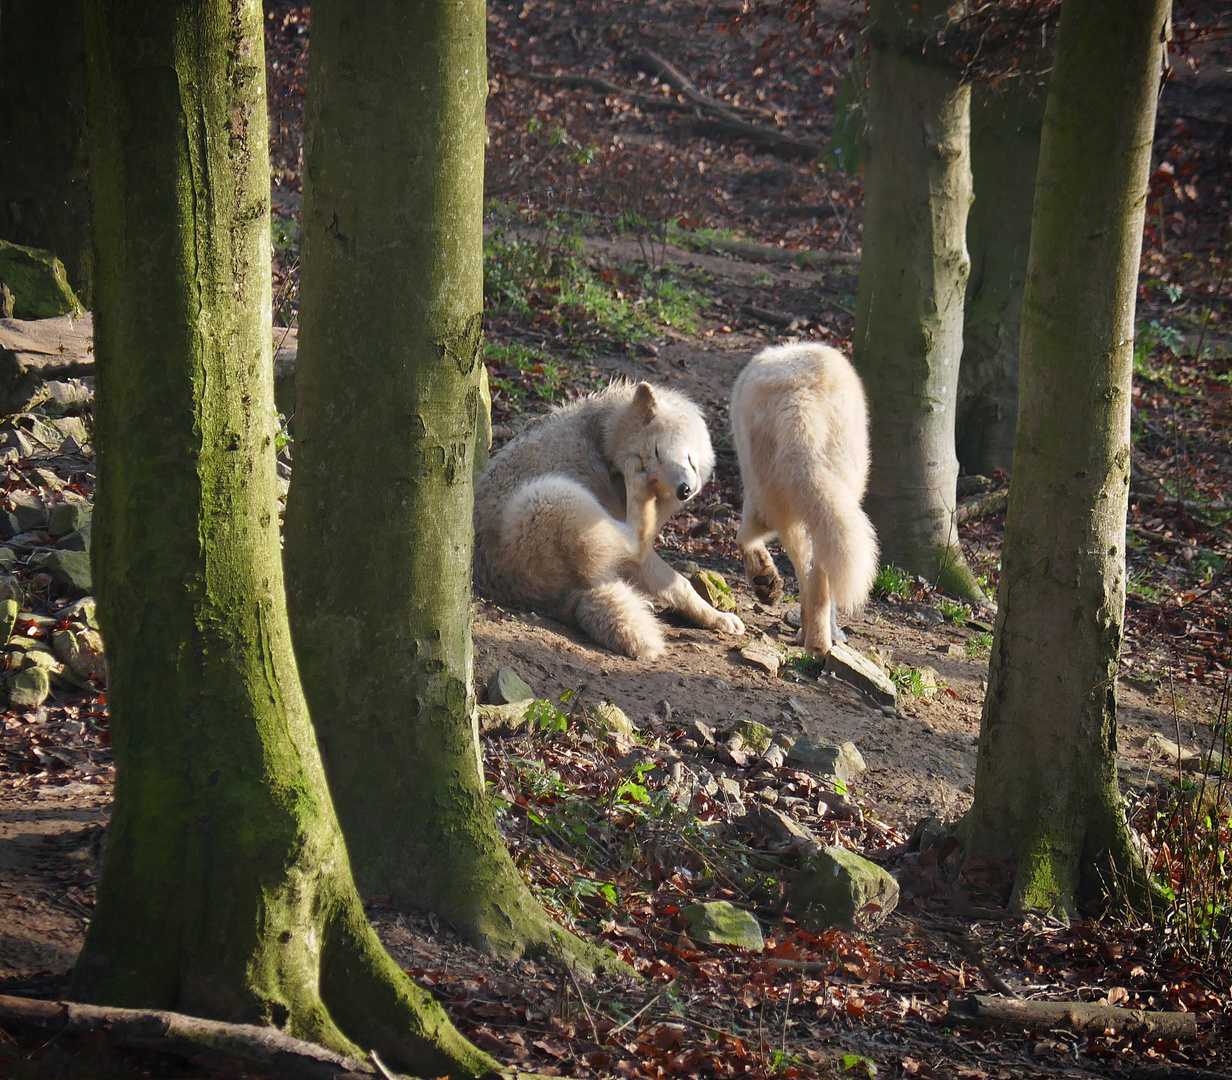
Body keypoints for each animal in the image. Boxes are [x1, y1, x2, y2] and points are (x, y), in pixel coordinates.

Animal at [470, 384, 739, 660]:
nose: (683, 491)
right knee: (636, 545)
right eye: (649, 467)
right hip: (550, 496)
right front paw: (720, 618)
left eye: (656, 452)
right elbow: (680, 583)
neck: (603, 441)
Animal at [729, 342, 877, 655]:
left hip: (781, 504)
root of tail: (800, 401)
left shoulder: (757, 495)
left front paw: (765, 583)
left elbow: (743, 536)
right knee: (821, 574)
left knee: (808, 574)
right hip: (837, 489)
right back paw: (819, 642)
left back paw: (812, 640)